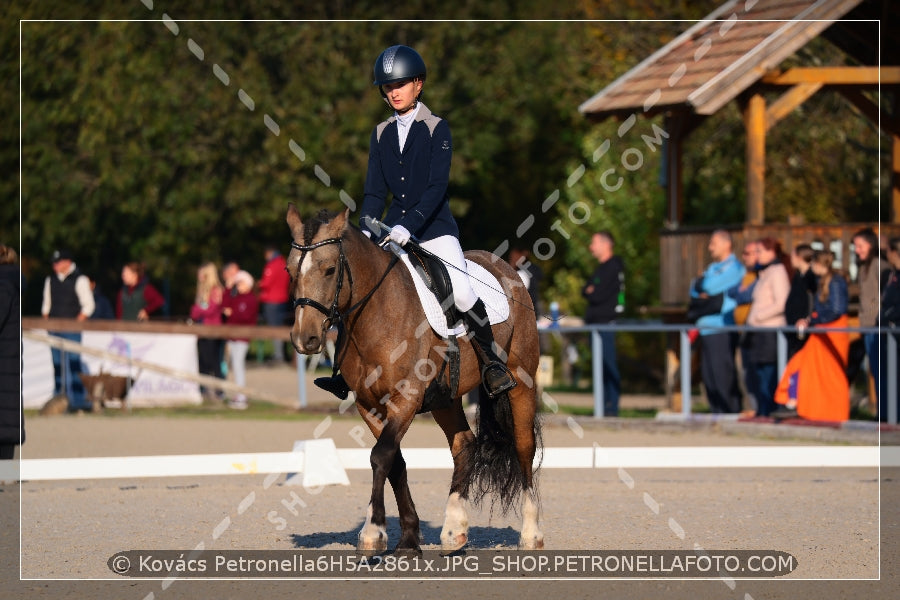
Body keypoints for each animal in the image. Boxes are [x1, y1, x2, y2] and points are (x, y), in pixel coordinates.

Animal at [284, 203, 544, 552]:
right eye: (289, 271)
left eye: (328, 270)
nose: (305, 339)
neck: (377, 313)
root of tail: (506, 268)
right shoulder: (369, 405)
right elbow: (395, 461)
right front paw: (408, 538)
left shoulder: (405, 398)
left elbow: (381, 456)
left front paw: (372, 532)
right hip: (447, 397)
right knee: (464, 445)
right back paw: (454, 530)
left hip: (521, 381)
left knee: (523, 446)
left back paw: (531, 533)